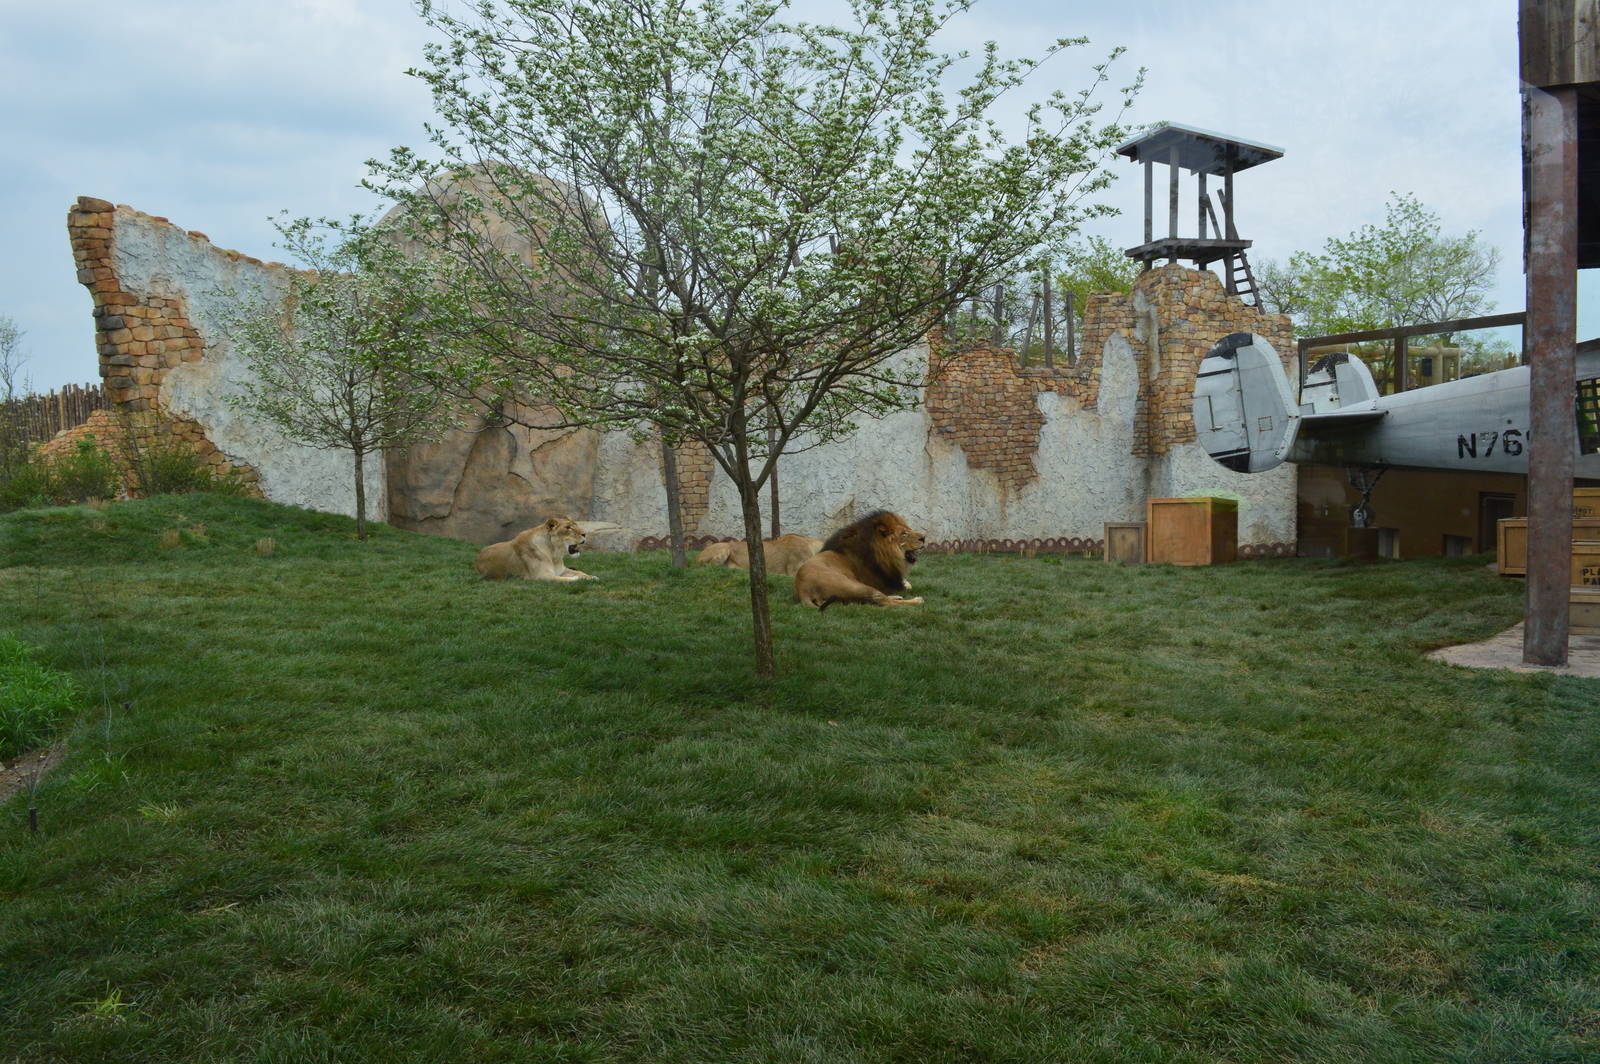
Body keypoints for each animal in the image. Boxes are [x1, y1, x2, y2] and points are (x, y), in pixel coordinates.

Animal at [794, 511, 926, 609]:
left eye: (909, 529)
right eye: (904, 533)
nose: (924, 538)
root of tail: (803, 589)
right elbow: (906, 586)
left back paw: (897, 596)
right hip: (856, 586)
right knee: (883, 601)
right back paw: (916, 600)